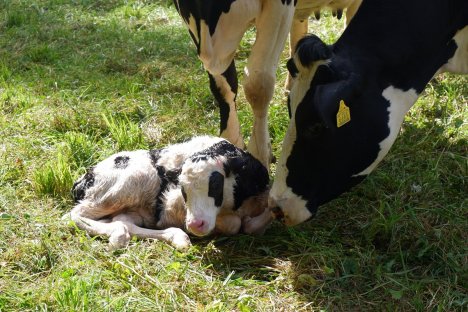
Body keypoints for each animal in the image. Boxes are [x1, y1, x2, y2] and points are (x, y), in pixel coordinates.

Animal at [65, 135, 270, 250]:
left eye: (215, 184)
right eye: (182, 188)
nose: (195, 225)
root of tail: (85, 177)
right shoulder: (171, 205)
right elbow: (234, 223)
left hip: (135, 207)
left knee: (122, 220)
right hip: (124, 187)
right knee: (72, 216)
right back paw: (120, 237)